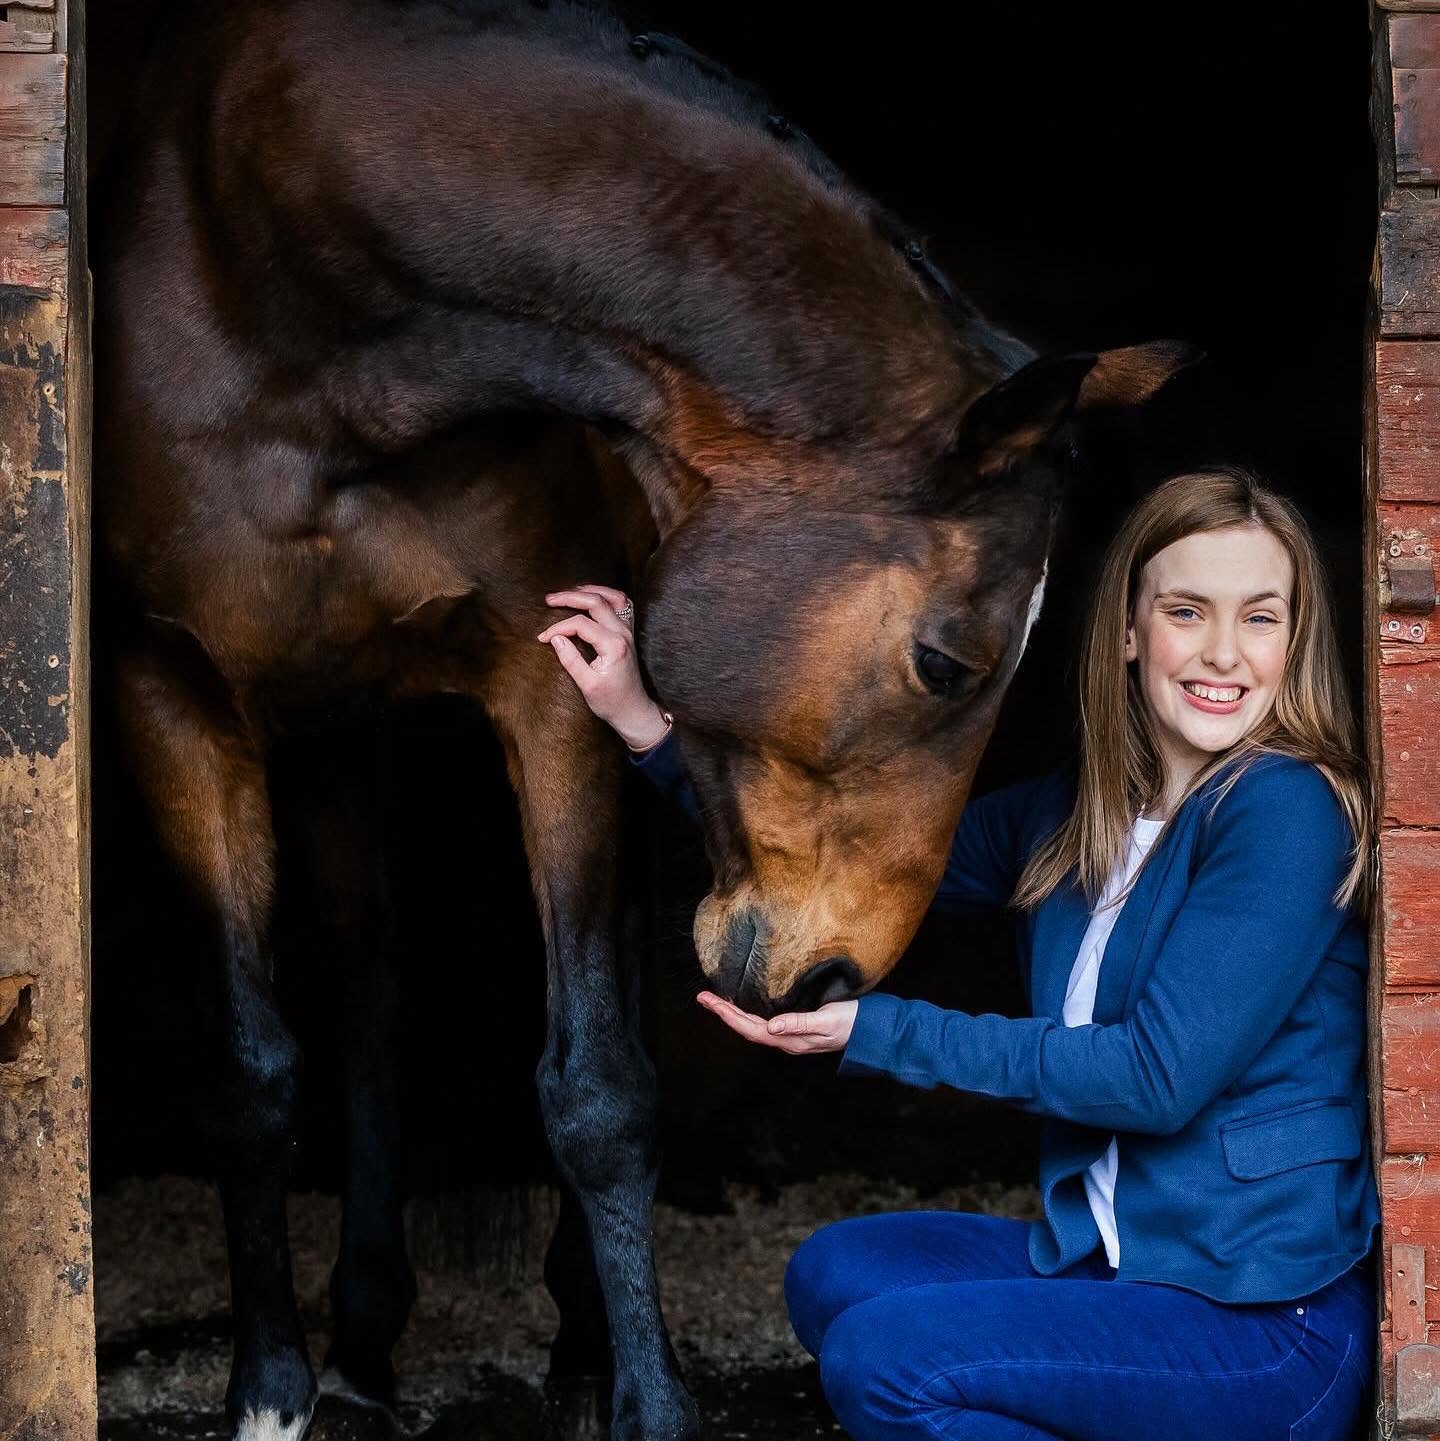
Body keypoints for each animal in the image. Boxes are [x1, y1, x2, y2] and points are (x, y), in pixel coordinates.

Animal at [91, 2, 1189, 1437]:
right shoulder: (166, 687)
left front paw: (648, 1393)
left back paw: (562, 1336)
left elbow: (600, 1086)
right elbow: (246, 1076)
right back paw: (365, 1333)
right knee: (363, 972)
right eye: (948, 662)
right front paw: (266, 1384)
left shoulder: (554, 689)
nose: (834, 980)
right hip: (330, 721)